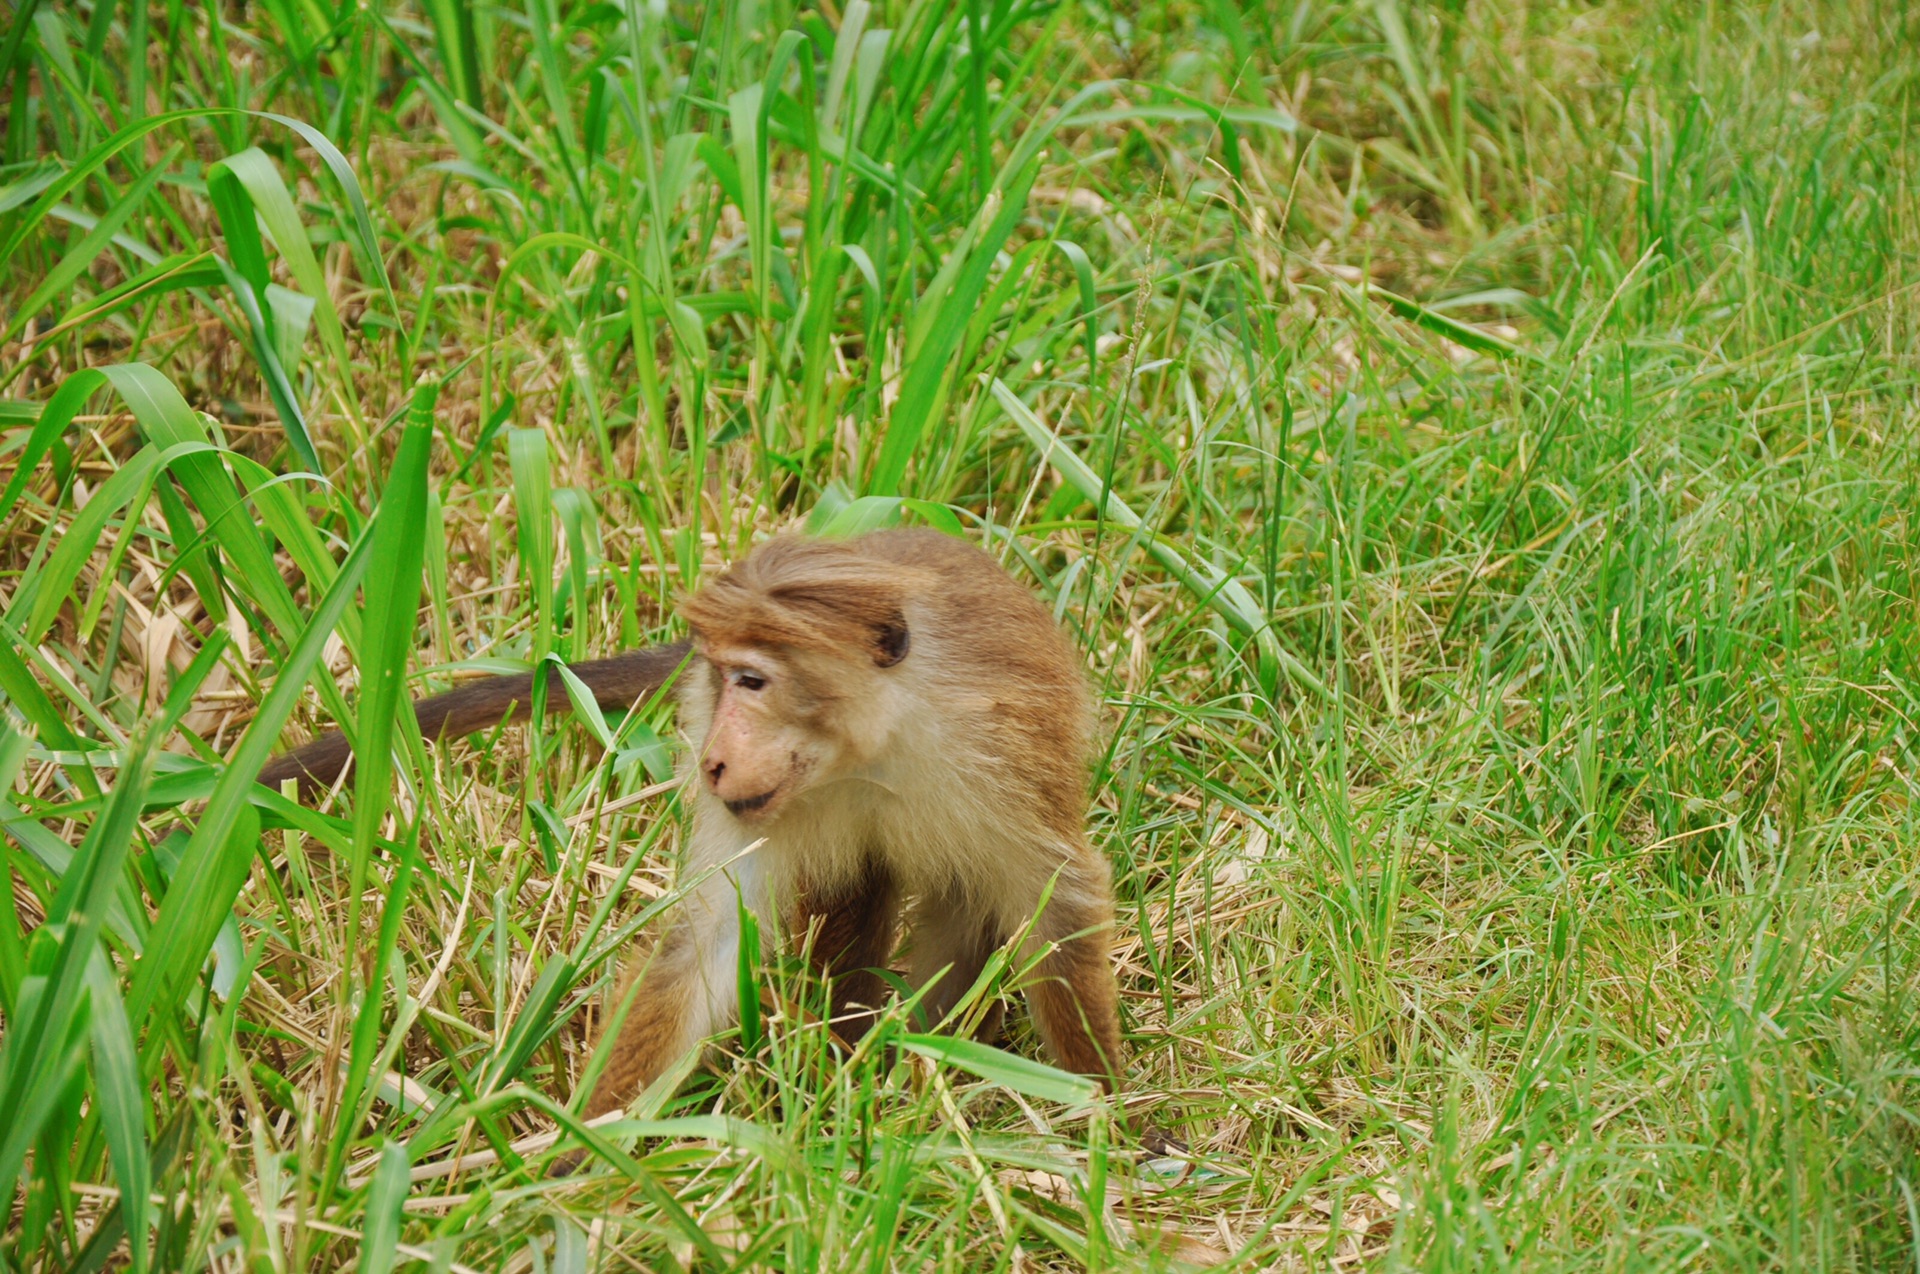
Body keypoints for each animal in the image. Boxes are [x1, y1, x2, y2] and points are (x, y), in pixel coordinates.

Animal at [255, 533, 1121, 1128]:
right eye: (717, 678)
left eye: (754, 680)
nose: (712, 759)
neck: (868, 748)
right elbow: (708, 944)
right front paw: (577, 1158)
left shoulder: (997, 754)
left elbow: (1057, 897)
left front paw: (1107, 1113)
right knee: (861, 886)